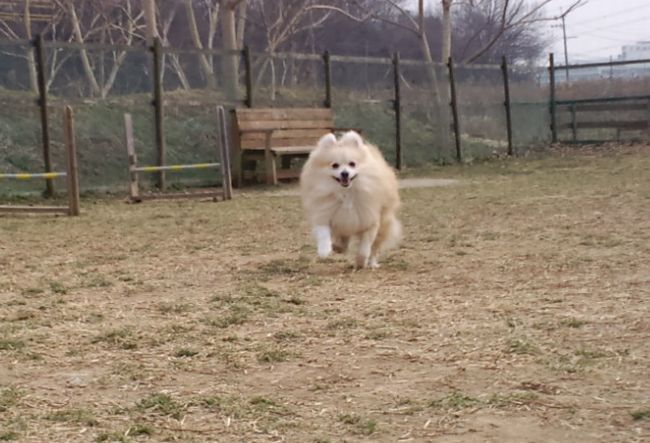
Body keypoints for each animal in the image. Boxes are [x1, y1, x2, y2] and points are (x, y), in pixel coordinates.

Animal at [299, 131, 402, 269]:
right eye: (335, 165)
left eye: (352, 164)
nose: (344, 173)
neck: (346, 193)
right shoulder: (325, 213)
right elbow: (323, 232)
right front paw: (324, 250)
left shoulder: (370, 220)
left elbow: (365, 247)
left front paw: (361, 261)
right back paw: (338, 246)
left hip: (383, 224)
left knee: (374, 248)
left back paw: (372, 263)